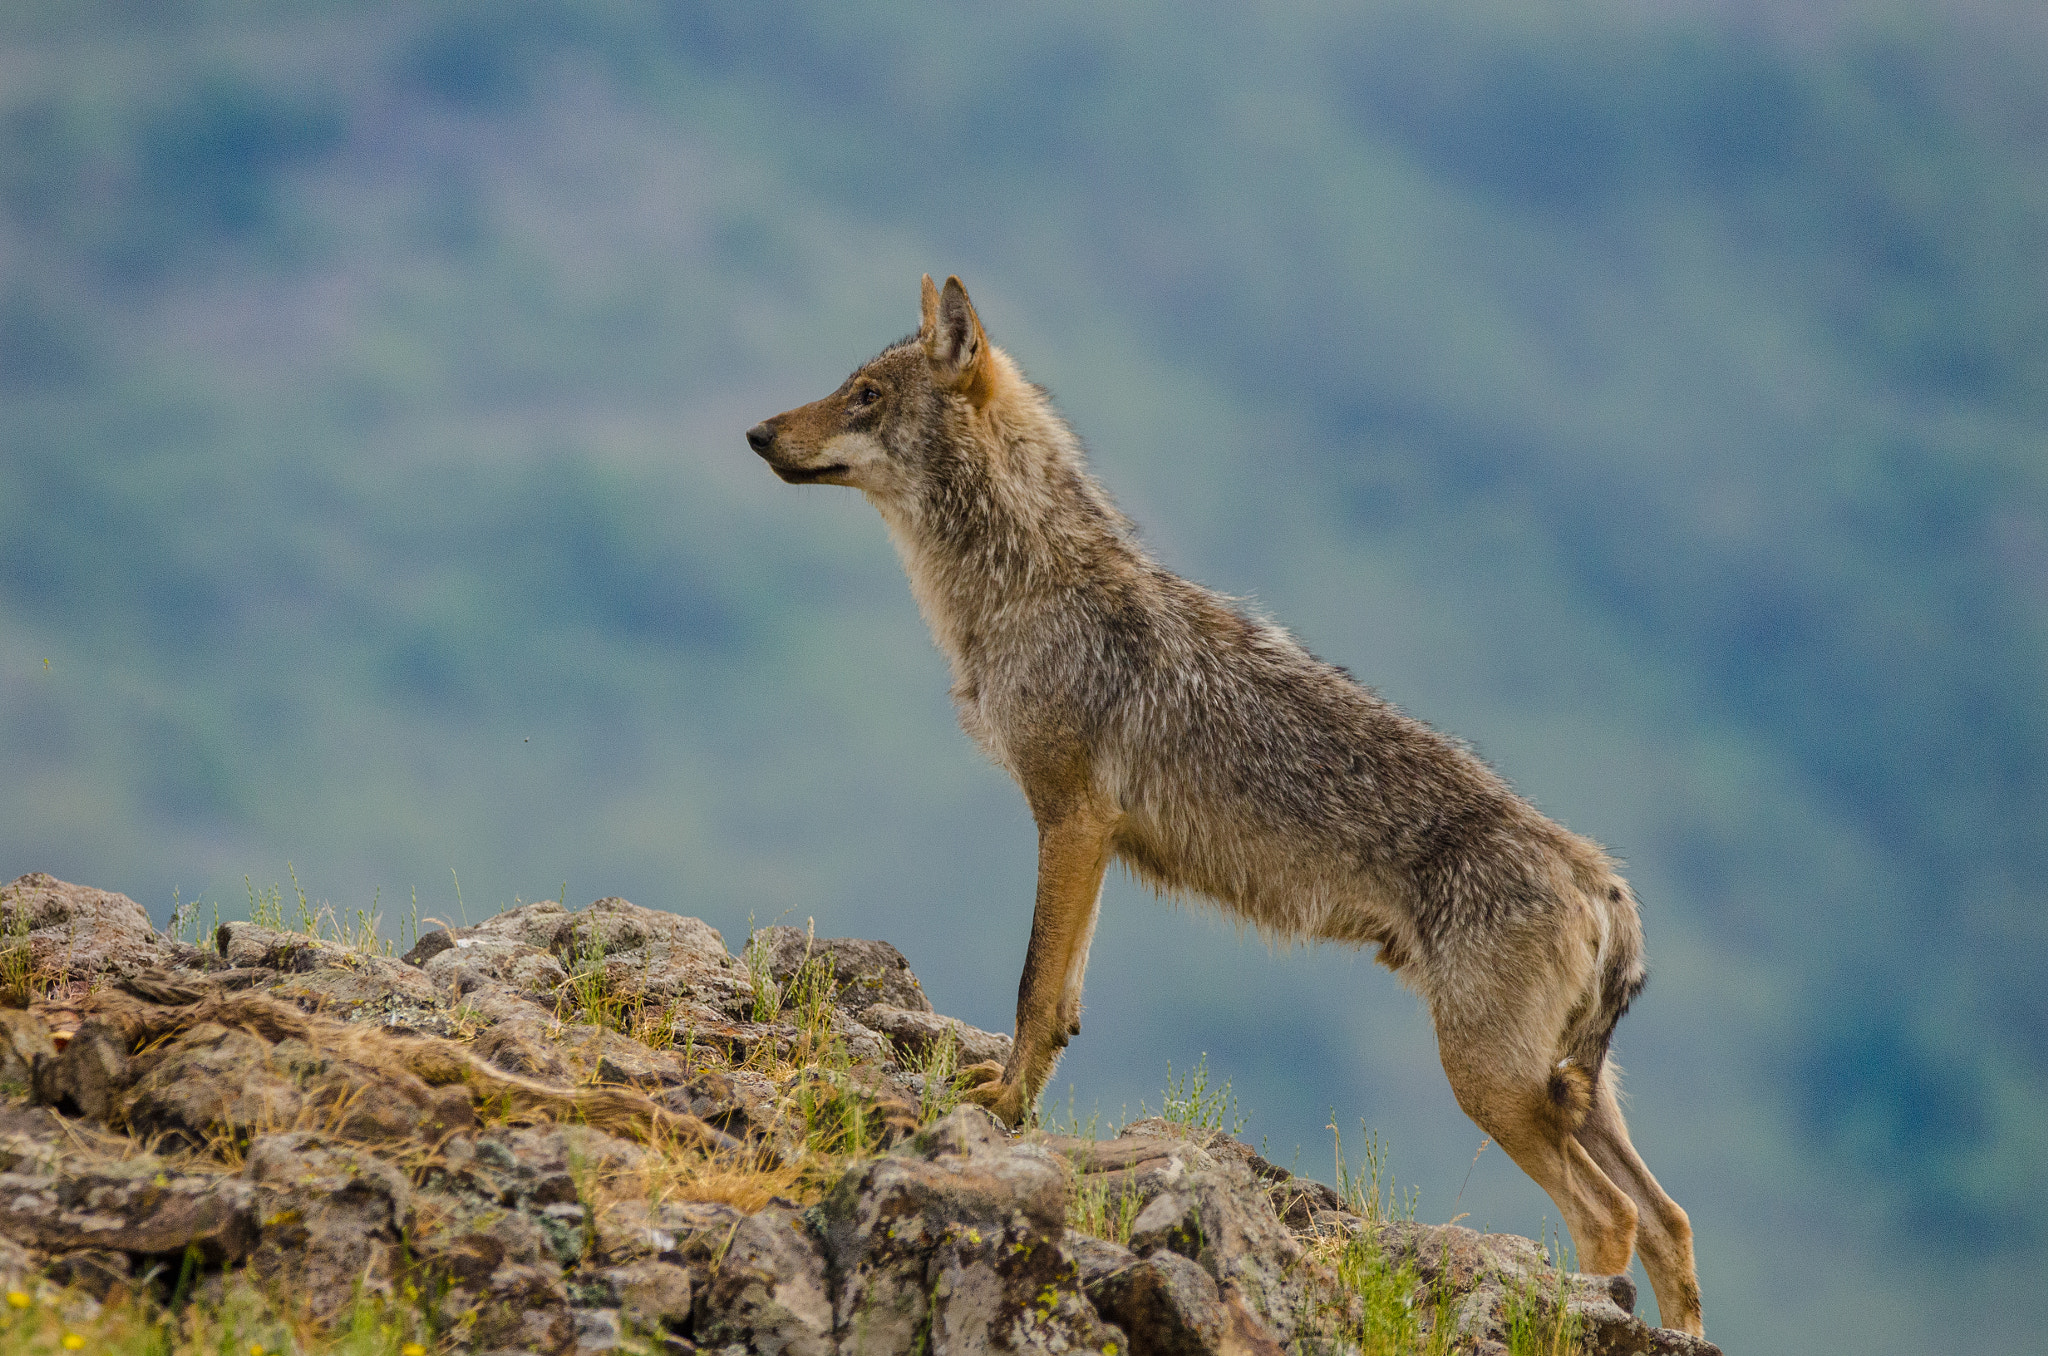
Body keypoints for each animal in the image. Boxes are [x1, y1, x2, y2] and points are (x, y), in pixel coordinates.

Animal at [746, 275, 1703, 1334]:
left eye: (866, 395)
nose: (756, 433)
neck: (1026, 588)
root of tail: (1602, 878)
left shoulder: (1070, 819)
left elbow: (1035, 990)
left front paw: (998, 1117)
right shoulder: (1092, 838)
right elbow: (1064, 1000)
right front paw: (1009, 1099)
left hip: (1494, 1088)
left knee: (1615, 1219)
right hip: (1571, 1092)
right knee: (1673, 1224)